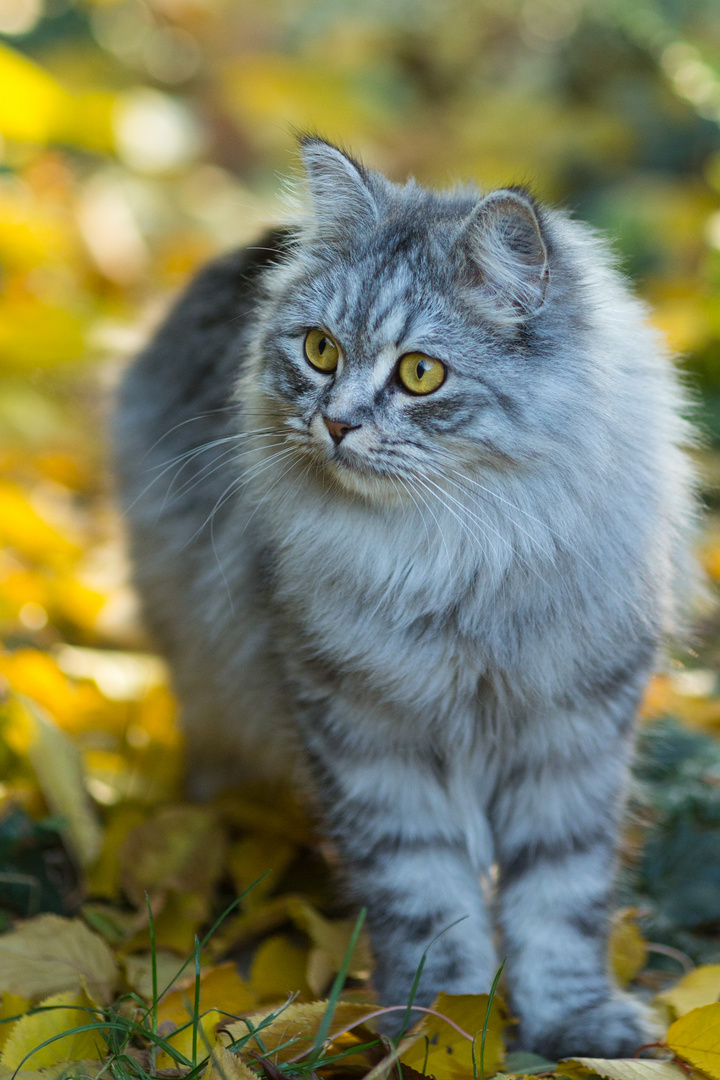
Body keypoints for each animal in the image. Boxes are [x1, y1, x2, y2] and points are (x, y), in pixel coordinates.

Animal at [113, 135, 699, 1054]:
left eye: (420, 373)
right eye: (319, 351)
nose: (336, 424)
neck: (462, 556)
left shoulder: (572, 731)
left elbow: (560, 899)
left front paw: (573, 1022)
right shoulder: (367, 733)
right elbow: (427, 901)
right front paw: (442, 1031)